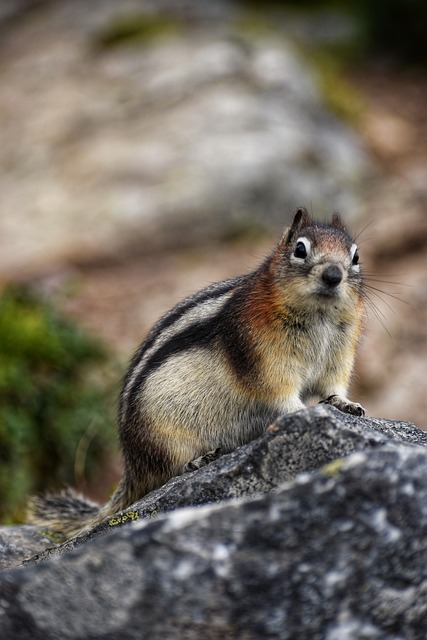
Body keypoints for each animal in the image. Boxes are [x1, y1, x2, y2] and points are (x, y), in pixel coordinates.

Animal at [28, 209, 366, 536]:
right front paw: (301, 410)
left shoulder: (338, 357)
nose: (333, 275)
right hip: (165, 440)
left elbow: (333, 387)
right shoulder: (264, 360)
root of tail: (132, 466)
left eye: (356, 256)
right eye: (300, 249)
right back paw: (198, 460)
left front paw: (346, 405)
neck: (319, 316)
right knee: (165, 474)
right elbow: (279, 395)